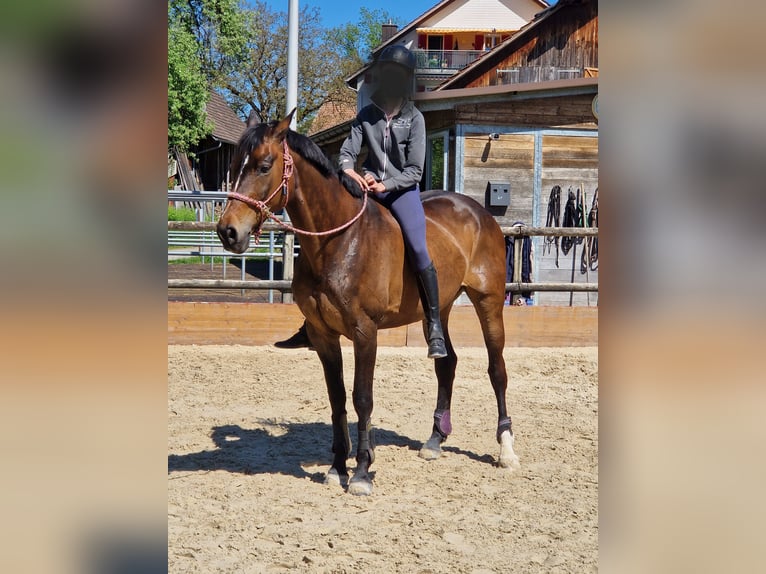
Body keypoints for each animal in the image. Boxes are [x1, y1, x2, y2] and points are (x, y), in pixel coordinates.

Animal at [216, 110, 520, 495]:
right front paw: (336, 467)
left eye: (263, 166)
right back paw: (435, 440)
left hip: (489, 302)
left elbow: (362, 397)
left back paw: (506, 450)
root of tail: (478, 212)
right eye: (234, 166)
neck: (339, 240)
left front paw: (361, 471)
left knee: (497, 370)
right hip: (437, 310)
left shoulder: (365, 332)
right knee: (446, 362)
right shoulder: (323, 335)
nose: (228, 232)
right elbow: (337, 398)